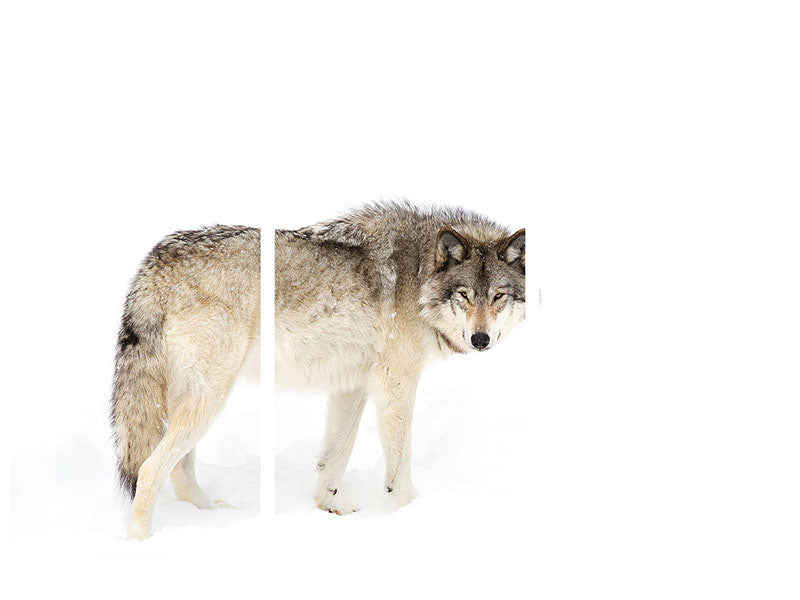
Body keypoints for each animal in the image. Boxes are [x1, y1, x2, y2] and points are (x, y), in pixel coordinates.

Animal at [111, 225, 260, 539]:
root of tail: (155, 264)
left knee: (179, 469)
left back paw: (210, 514)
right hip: (210, 398)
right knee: (151, 470)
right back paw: (140, 539)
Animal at [275, 202, 525, 514]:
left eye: (498, 296)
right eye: (463, 295)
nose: (480, 339)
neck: (418, 277)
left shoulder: (352, 384)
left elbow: (334, 457)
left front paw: (331, 505)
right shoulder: (394, 383)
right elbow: (400, 464)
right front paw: (411, 507)